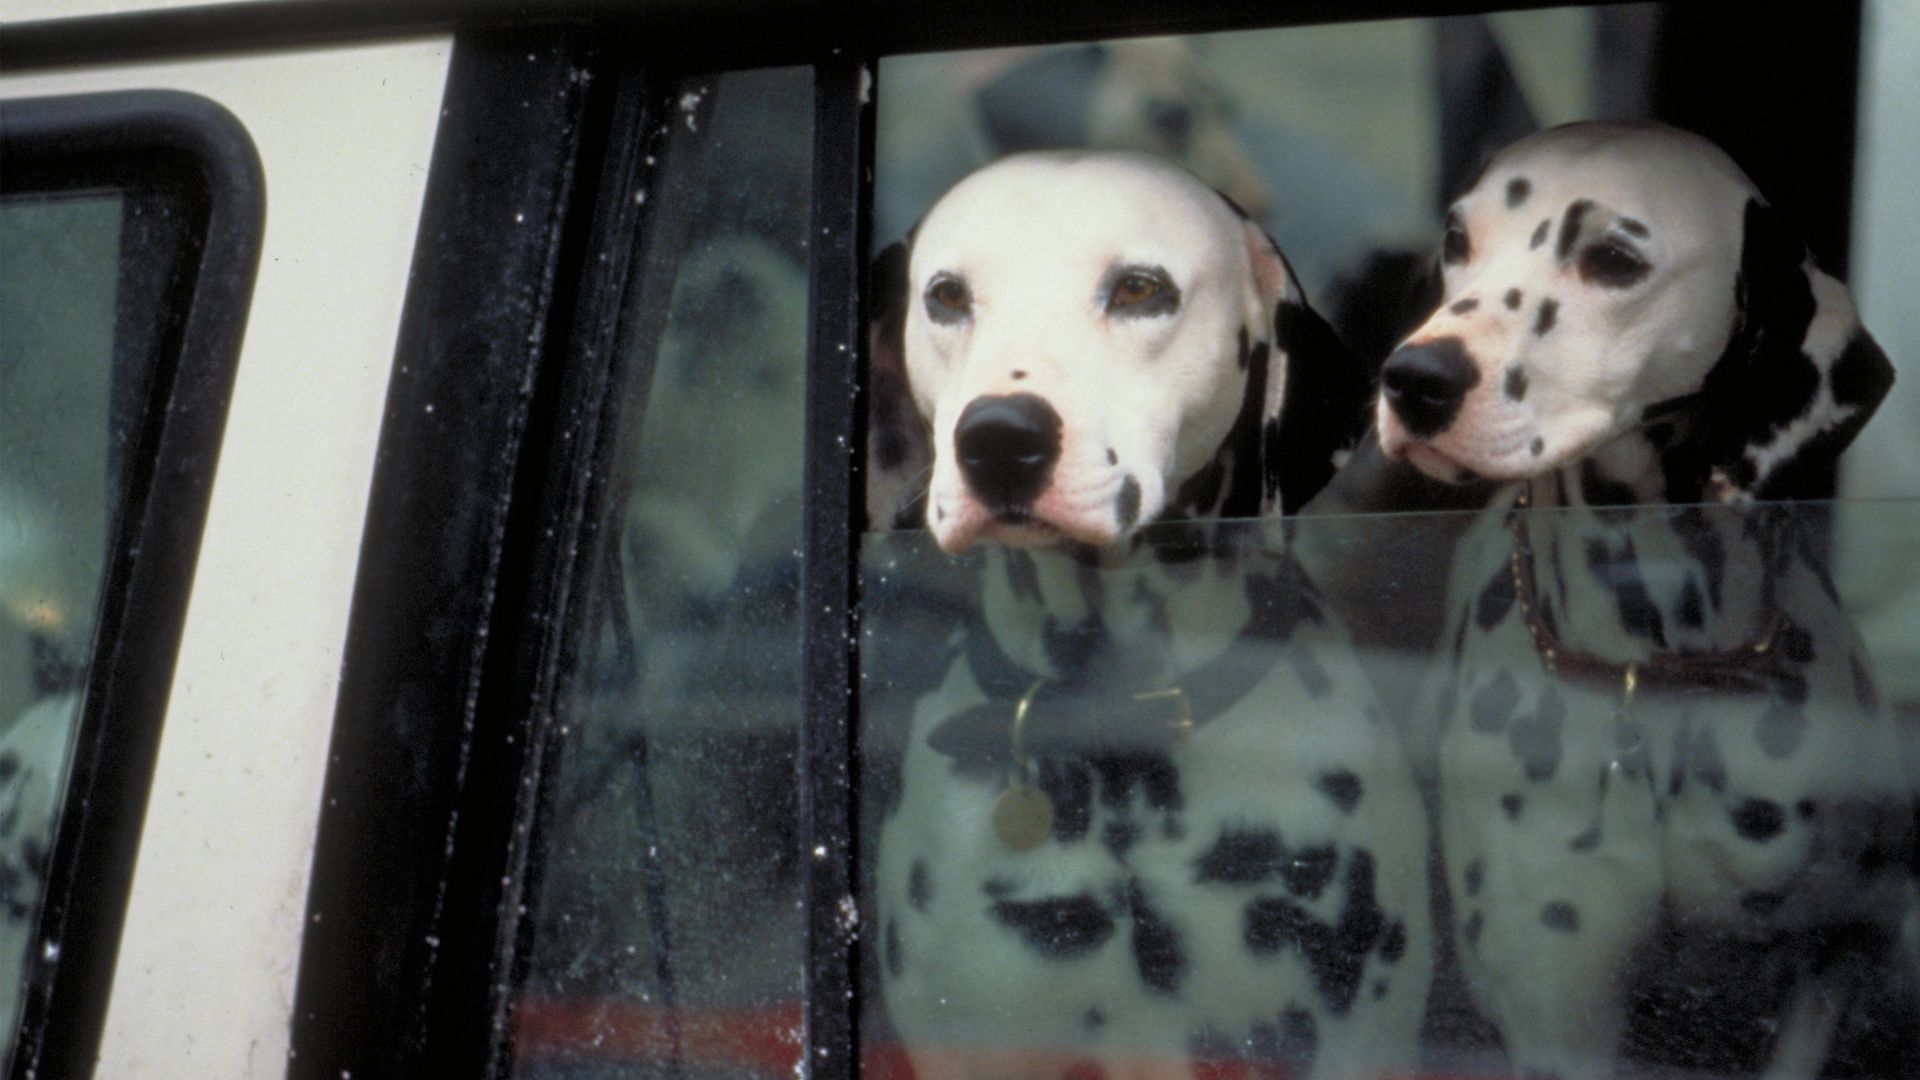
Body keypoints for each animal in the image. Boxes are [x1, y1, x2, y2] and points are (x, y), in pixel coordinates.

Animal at [1374, 117, 1912, 1076]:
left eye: (1614, 260)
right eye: (1457, 241)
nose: (1416, 379)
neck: (1658, 675)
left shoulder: (1837, 952)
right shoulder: (1558, 1014)